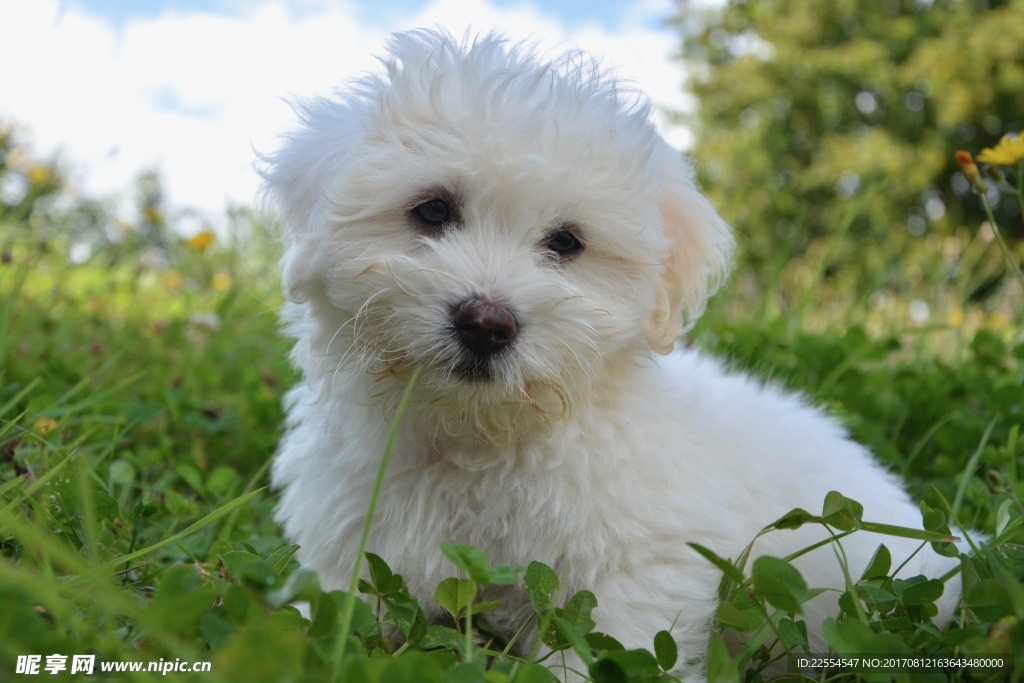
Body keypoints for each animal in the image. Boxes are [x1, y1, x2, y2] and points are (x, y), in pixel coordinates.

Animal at [262, 28, 958, 679]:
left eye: (567, 242)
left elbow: (604, 651)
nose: (486, 323)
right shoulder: (348, 547)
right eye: (432, 210)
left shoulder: (636, 568)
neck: (477, 438)